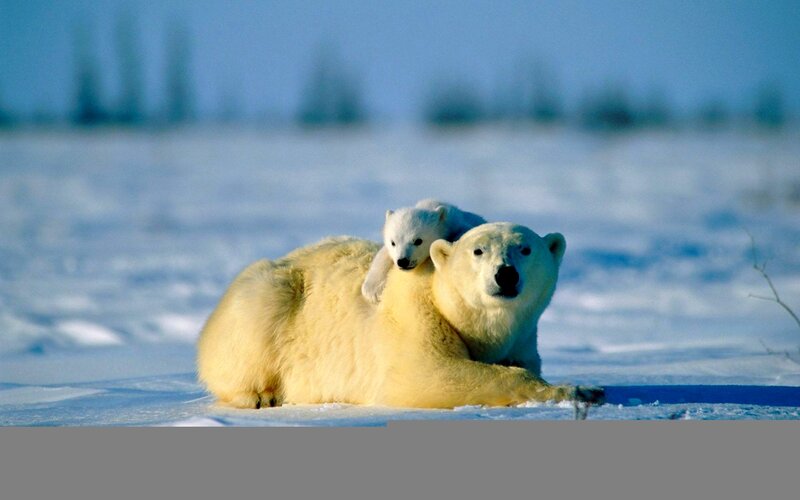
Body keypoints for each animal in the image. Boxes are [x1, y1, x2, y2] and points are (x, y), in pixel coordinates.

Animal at [196, 222, 604, 409]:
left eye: (525, 248)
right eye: (478, 251)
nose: (505, 274)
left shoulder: (522, 338)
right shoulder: (415, 315)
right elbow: (429, 373)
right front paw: (582, 389)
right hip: (269, 295)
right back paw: (260, 395)